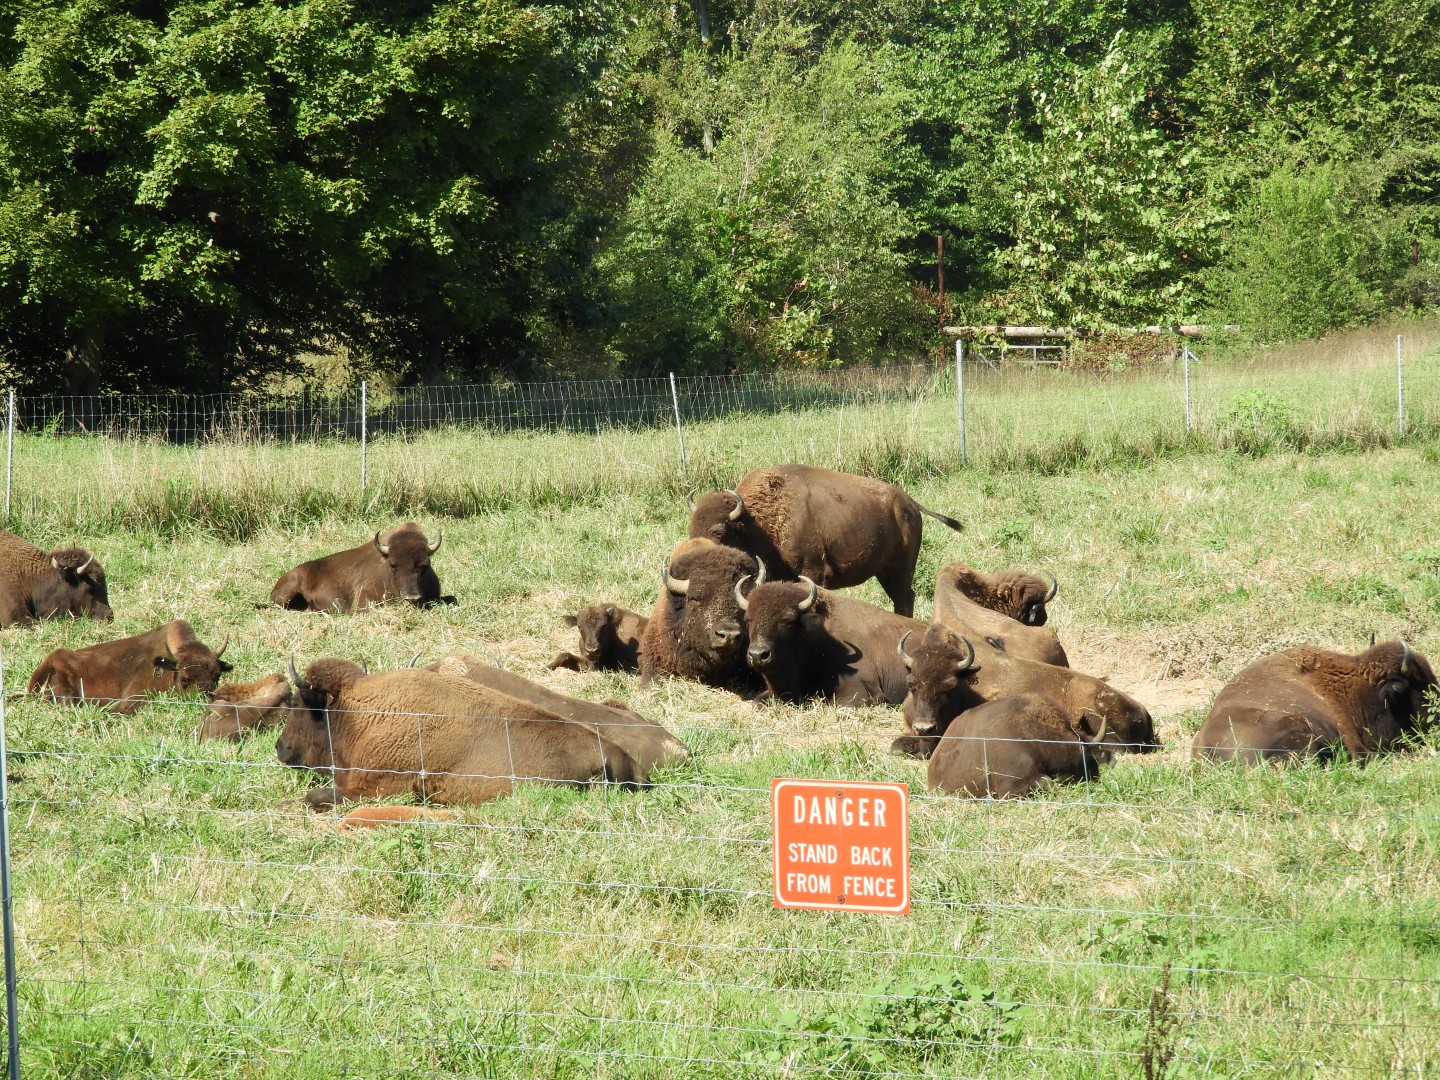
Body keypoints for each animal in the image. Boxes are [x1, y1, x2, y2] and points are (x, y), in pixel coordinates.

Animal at [687, 464, 962, 616]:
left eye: (719, 531)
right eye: (691, 530)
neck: (757, 523)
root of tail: (910, 504)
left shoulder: (813, 573)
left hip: (900, 569)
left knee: (904, 598)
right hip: (884, 571)